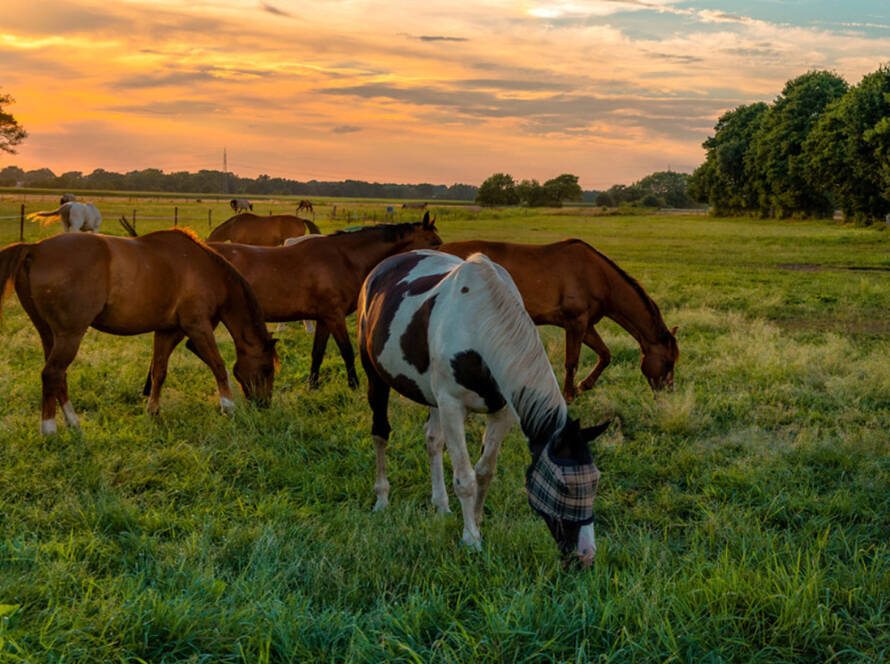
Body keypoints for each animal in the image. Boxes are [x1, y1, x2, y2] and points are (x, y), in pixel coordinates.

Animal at [0, 230, 278, 436]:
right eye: (267, 369)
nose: (264, 405)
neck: (205, 269)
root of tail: (34, 249)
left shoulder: (167, 331)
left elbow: (159, 372)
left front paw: (152, 411)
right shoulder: (197, 327)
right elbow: (219, 366)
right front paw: (228, 408)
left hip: (49, 335)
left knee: (59, 377)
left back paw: (73, 424)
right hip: (70, 335)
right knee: (52, 374)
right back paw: (49, 430)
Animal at [142, 211, 440, 394]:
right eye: (435, 242)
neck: (343, 258)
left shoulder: (324, 318)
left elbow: (318, 353)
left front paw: (312, 385)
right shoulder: (335, 316)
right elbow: (346, 351)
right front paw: (354, 385)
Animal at [358, 249, 608, 564]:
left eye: (595, 480)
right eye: (563, 485)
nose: (586, 555)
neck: (479, 323)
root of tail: (381, 268)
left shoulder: (502, 411)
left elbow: (484, 472)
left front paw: (475, 523)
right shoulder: (452, 406)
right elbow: (465, 478)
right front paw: (471, 540)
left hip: (433, 396)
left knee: (433, 440)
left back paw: (441, 505)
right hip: (376, 376)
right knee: (380, 433)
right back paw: (382, 498)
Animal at [438, 241, 680, 402]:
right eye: (668, 362)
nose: (668, 396)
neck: (598, 276)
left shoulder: (586, 325)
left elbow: (605, 355)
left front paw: (582, 386)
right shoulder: (575, 323)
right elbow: (571, 362)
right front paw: (568, 395)